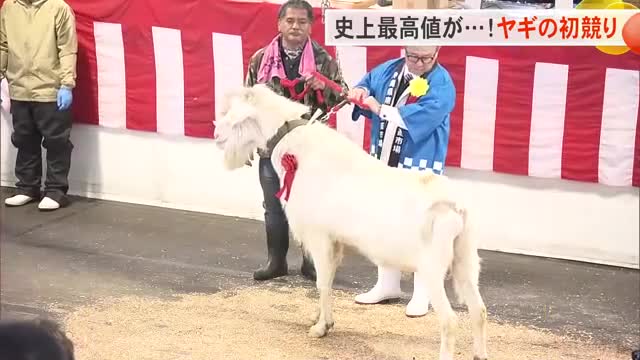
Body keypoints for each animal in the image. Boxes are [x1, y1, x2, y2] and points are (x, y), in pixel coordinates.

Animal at [215, 83, 490, 360]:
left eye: (230, 113)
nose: (216, 136)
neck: (297, 148)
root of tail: (456, 206)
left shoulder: (320, 237)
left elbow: (322, 282)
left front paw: (321, 328)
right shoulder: (335, 242)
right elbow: (326, 280)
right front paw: (319, 318)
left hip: (433, 265)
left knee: (450, 320)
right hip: (465, 258)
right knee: (479, 309)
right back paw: (480, 354)